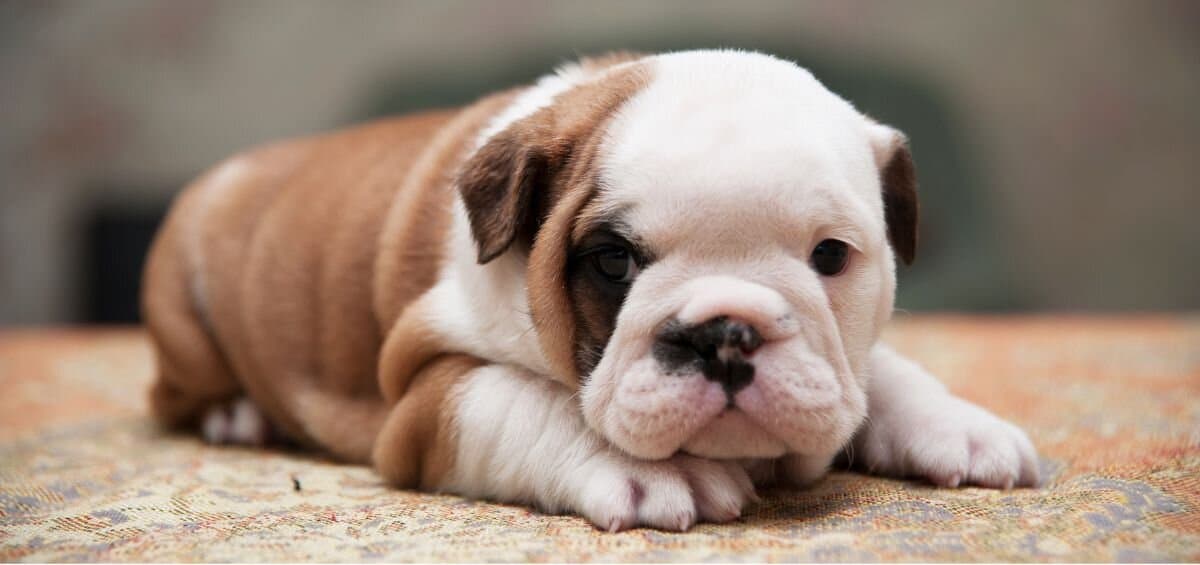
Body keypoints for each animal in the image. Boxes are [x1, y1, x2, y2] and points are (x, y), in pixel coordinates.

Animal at [145, 50, 1036, 532]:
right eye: (612, 261)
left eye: (830, 256)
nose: (726, 333)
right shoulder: (425, 392)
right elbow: (528, 403)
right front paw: (650, 470)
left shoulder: (842, 358)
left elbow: (879, 371)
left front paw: (958, 425)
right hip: (184, 316)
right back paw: (239, 413)